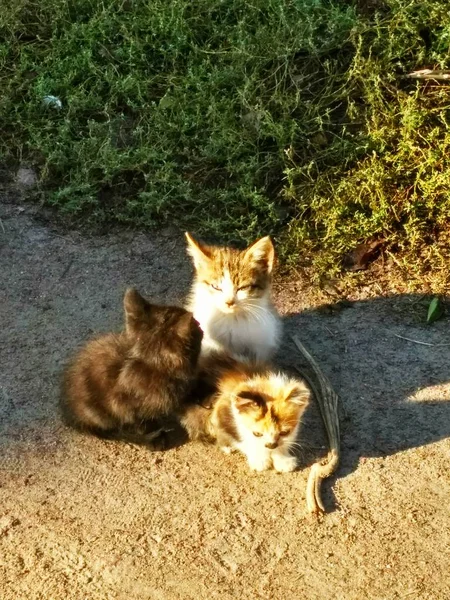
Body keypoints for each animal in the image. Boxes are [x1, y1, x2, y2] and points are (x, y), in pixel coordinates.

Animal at [61, 286, 202, 446]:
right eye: (196, 327)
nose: (199, 323)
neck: (151, 363)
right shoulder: (122, 404)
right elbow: (141, 423)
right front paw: (155, 438)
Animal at [179, 352, 310, 474]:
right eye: (257, 434)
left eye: (284, 432)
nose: (270, 445)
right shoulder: (223, 416)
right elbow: (242, 440)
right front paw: (260, 459)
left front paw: (282, 459)